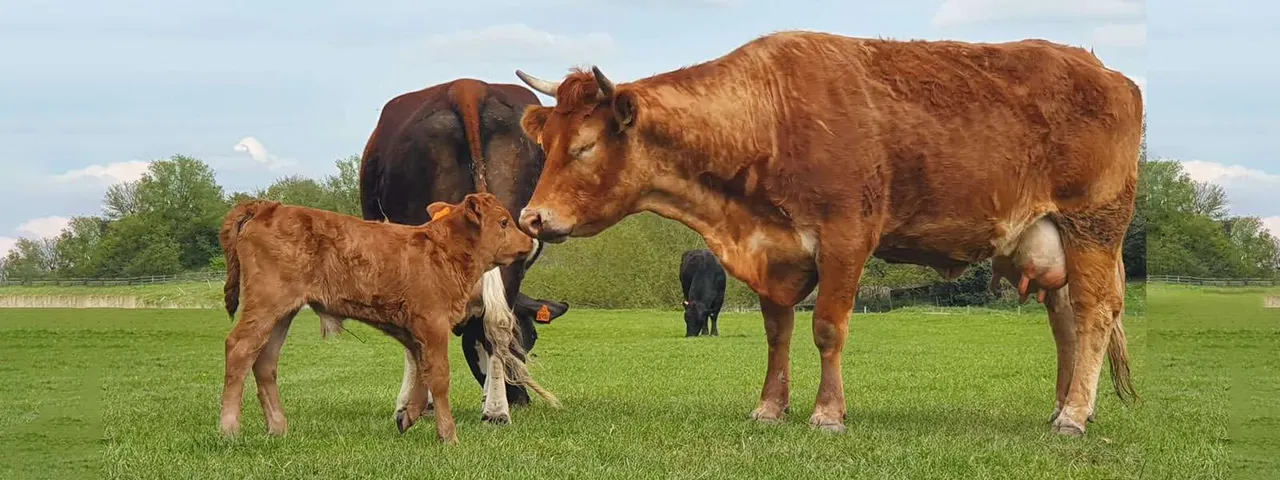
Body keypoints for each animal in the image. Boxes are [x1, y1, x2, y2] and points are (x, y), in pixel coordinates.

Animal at [217, 193, 560, 444]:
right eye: (503, 222)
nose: (530, 241)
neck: (444, 253)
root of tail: (268, 206)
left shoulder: (417, 329)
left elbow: (423, 373)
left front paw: (408, 415)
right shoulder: (433, 322)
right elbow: (439, 376)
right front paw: (448, 435)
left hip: (282, 313)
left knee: (265, 362)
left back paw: (278, 428)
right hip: (266, 303)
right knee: (238, 348)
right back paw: (229, 429)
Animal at [358, 78, 570, 423]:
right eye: (529, 341)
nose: (521, 399)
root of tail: (469, 88)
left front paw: (413, 404)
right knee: (498, 320)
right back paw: (497, 410)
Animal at [511, 30, 1142, 436]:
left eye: (585, 147)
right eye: (546, 144)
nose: (533, 218)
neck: (769, 116)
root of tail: (1106, 72)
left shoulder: (846, 238)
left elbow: (827, 329)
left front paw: (827, 414)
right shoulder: (774, 251)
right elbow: (777, 332)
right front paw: (770, 408)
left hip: (1093, 225)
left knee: (1093, 313)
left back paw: (1073, 416)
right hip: (1050, 237)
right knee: (1065, 320)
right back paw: (1065, 407)